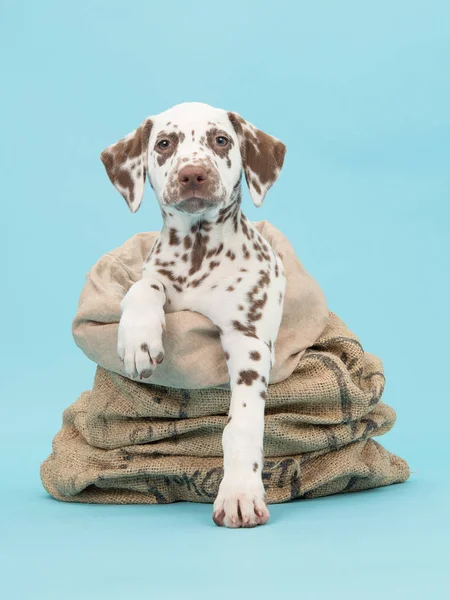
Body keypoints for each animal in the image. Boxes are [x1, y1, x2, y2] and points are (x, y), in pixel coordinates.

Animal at [100, 103, 286, 528]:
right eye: (165, 144)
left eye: (221, 139)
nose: (192, 174)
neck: (199, 251)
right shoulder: (156, 277)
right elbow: (145, 286)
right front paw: (138, 340)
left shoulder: (249, 342)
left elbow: (242, 424)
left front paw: (239, 493)